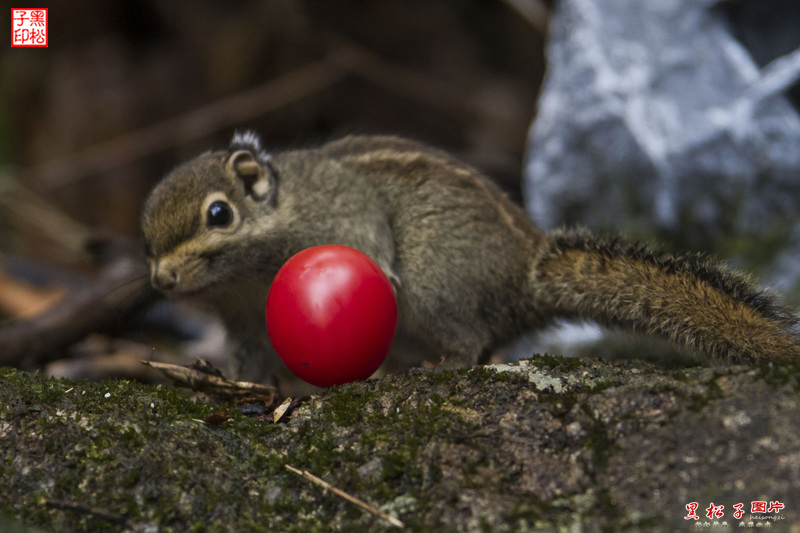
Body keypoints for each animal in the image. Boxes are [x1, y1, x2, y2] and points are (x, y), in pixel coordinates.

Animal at [141, 131, 800, 382]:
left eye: (219, 214)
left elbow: (368, 229)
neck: (247, 280)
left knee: (471, 342)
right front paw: (237, 383)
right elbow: (251, 363)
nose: (163, 279)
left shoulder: (340, 205)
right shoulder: (246, 323)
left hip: (436, 288)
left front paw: (375, 268)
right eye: (147, 239)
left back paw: (441, 364)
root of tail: (525, 274)